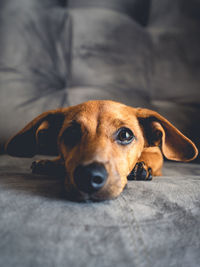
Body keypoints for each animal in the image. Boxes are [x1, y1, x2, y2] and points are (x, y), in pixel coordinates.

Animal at [5, 101, 198, 202]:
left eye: (125, 134)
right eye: (71, 132)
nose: (88, 176)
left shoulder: (156, 154)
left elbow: (149, 157)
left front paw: (139, 167)